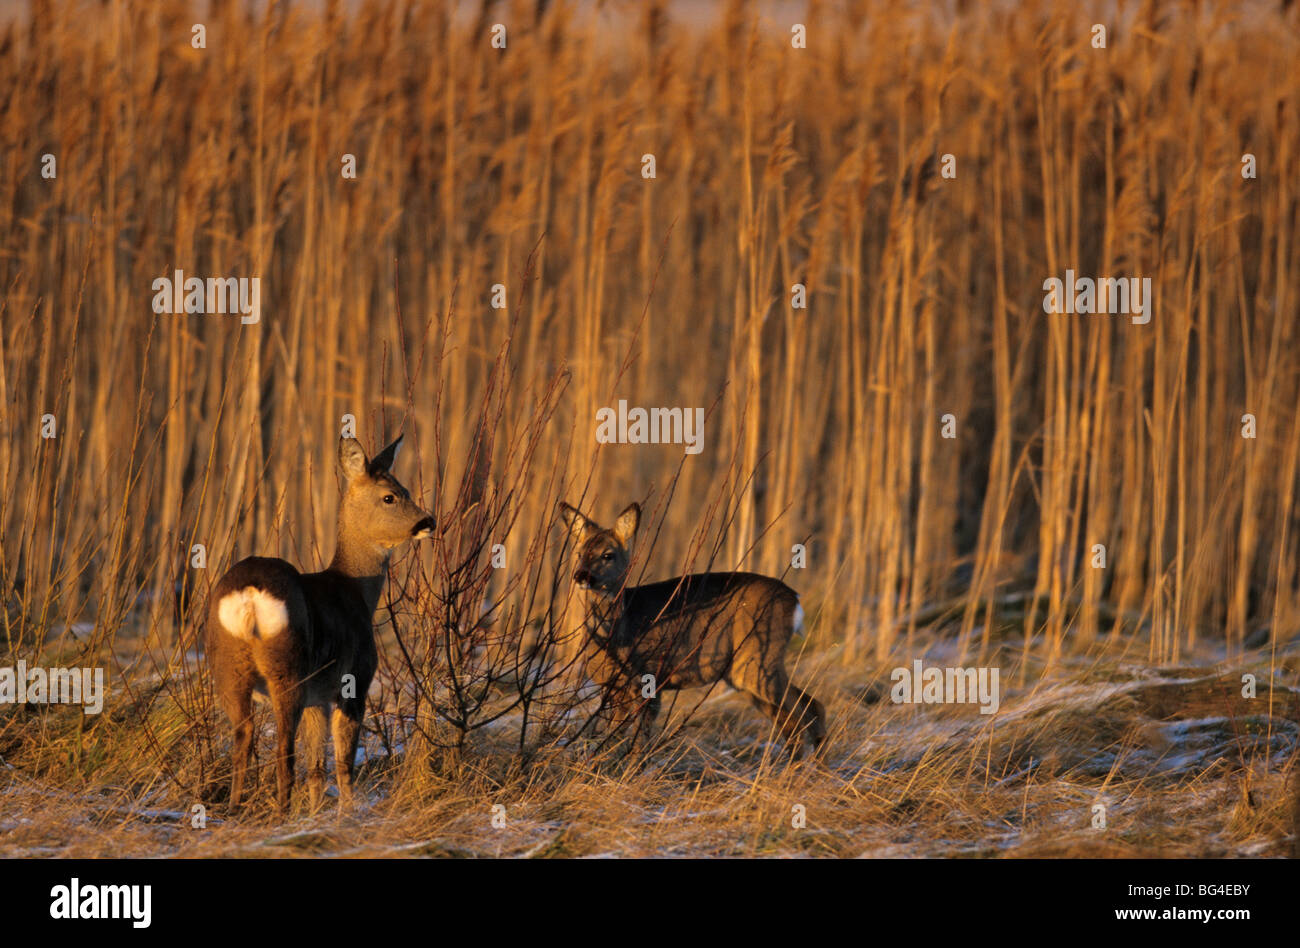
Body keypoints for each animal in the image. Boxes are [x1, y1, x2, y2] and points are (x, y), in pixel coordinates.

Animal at [208, 431, 436, 811]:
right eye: (390, 496)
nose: (427, 522)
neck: (356, 590)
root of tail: (250, 594)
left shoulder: (318, 696)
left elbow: (317, 767)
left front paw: (316, 814)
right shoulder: (353, 680)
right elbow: (343, 764)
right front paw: (348, 813)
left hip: (230, 667)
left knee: (243, 738)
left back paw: (236, 808)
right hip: (288, 667)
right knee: (284, 750)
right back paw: (281, 814)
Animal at [556, 501, 821, 754]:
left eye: (607, 555)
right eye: (579, 553)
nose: (581, 575)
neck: (617, 631)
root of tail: (794, 599)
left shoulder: (647, 680)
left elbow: (638, 741)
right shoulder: (613, 688)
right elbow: (609, 736)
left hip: (758, 661)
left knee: (808, 710)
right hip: (744, 672)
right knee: (794, 719)